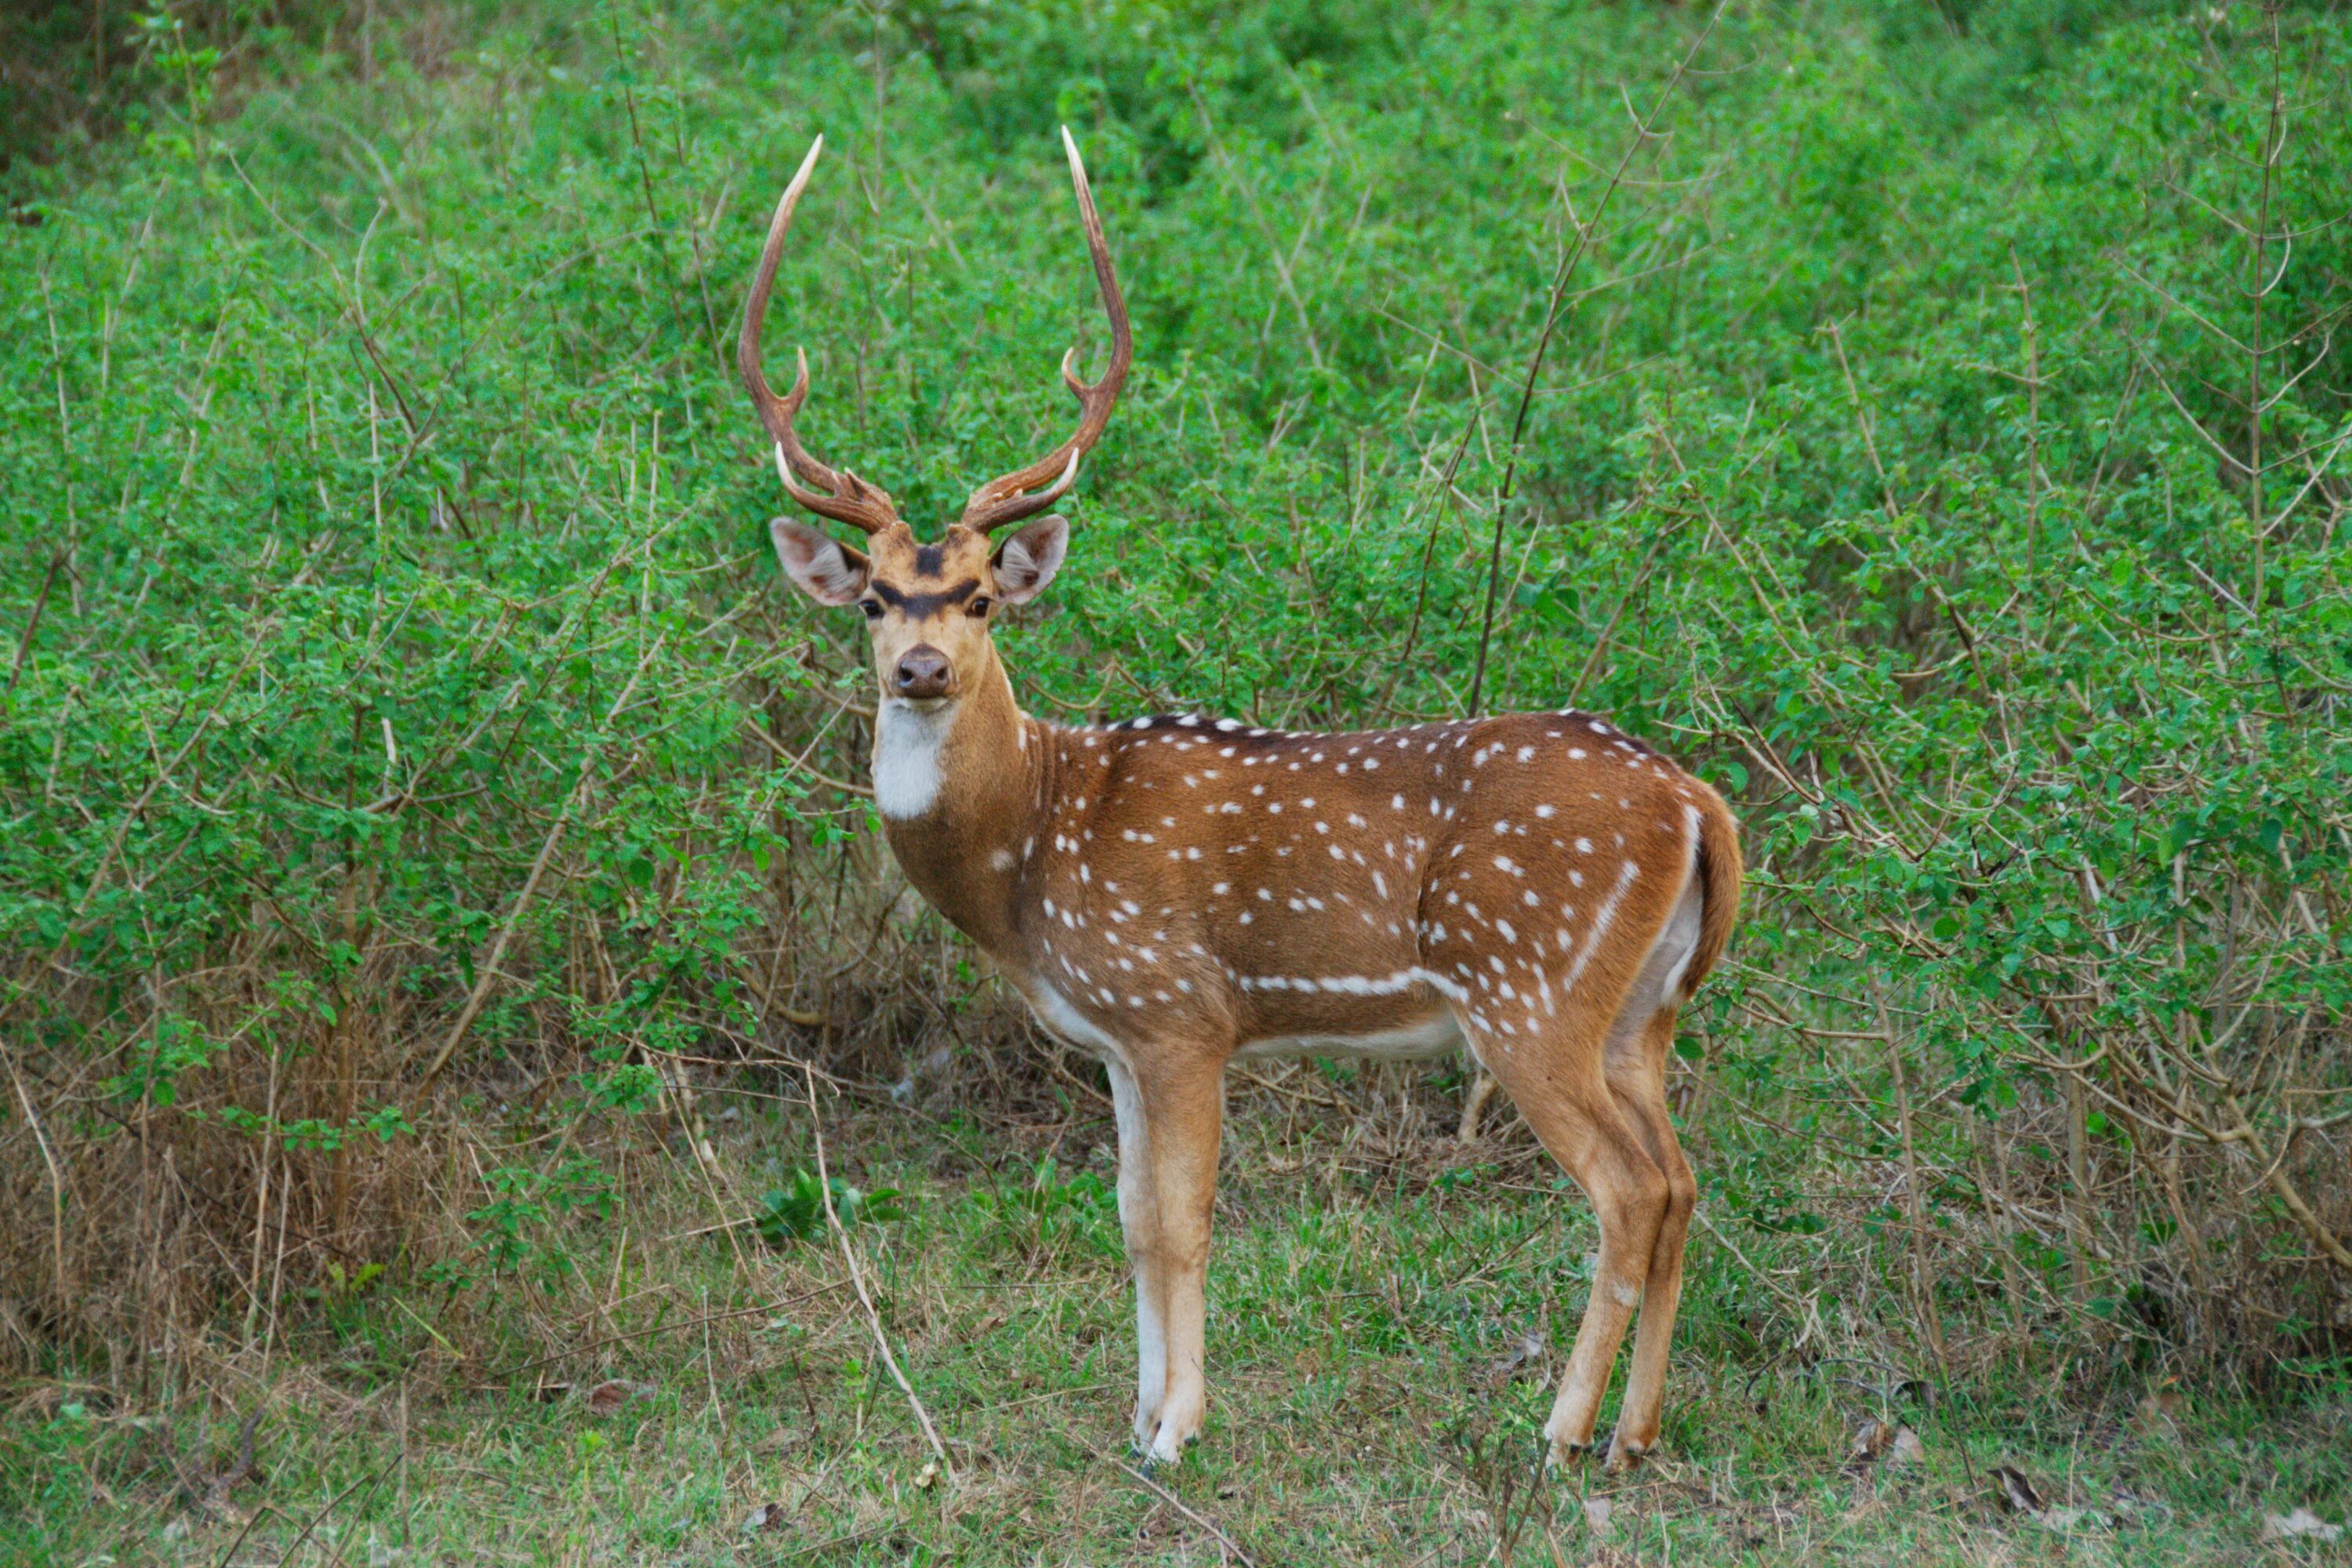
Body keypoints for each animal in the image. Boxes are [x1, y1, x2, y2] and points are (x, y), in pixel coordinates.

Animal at [743, 129, 1740, 1467]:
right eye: (872, 599)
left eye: (980, 598)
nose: (920, 668)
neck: (1029, 854)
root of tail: (1695, 801)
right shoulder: (1113, 1036)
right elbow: (1126, 1218)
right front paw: (1133, 1417)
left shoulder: (1181, 1012)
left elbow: (1184, 1220)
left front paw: (1177, 1430)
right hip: (1646, 1009)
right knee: (1680, 1181)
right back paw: (1636, 1435)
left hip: (1531, 989)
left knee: (1628, 1188)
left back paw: (1561, 1436)